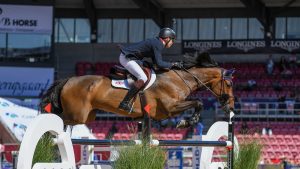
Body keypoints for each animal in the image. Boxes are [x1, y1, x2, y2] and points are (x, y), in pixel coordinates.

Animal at [39, 53, 236, 129]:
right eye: (229, 84)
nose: (231, 107)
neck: (179, 79)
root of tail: (68, 80)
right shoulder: (170, 107)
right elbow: (198, 102)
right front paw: (188, 122)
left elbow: (197, 102)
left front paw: (186, 122)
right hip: (76, 114)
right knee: (55, 119)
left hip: (87, 116)